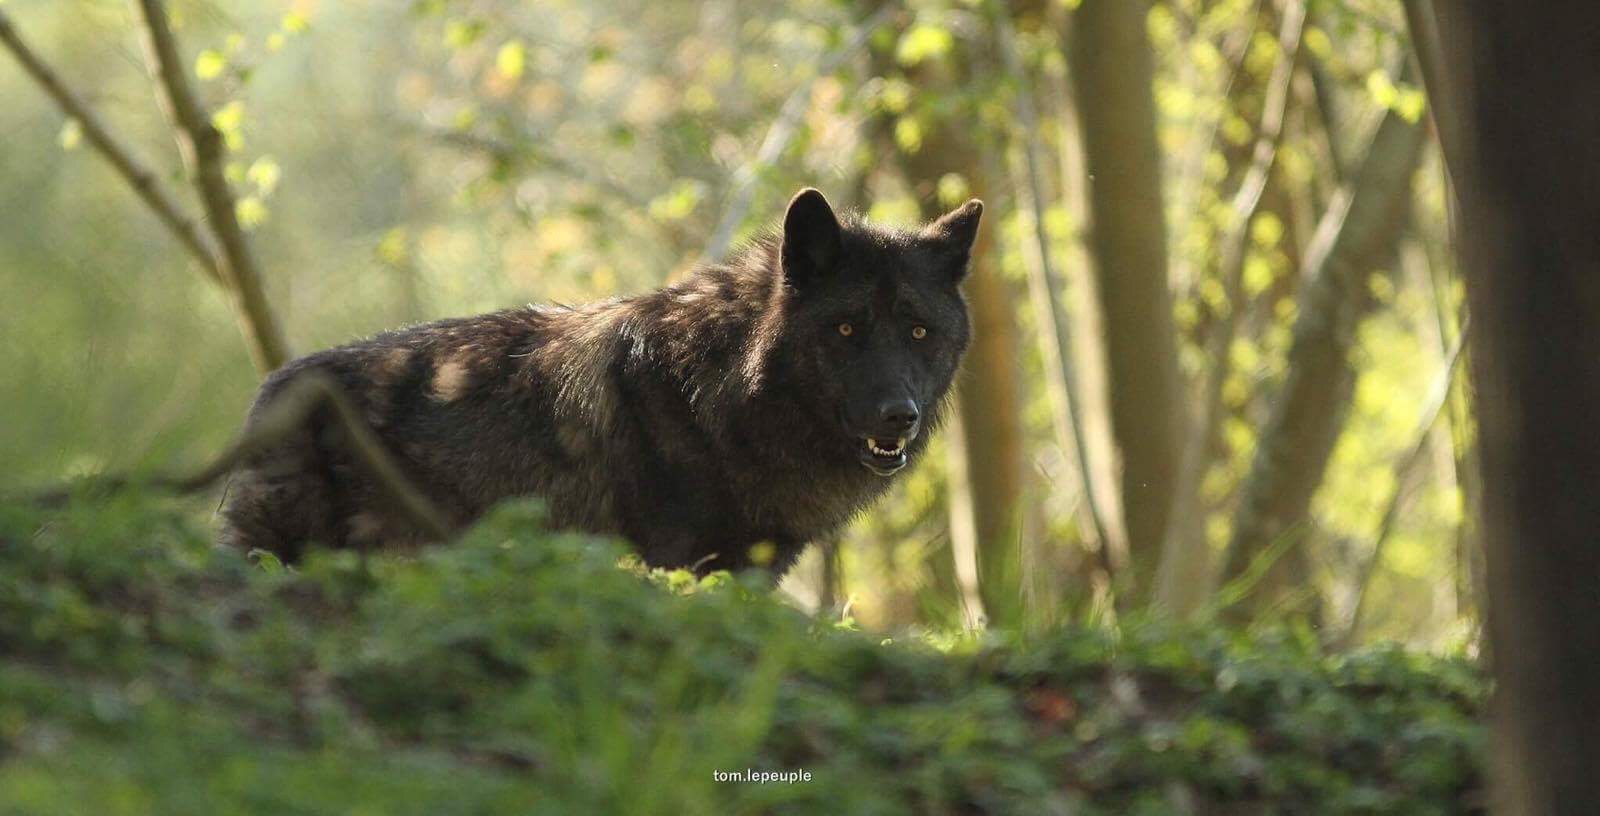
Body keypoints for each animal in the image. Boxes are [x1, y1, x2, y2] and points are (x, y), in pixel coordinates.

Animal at [220, 188, 979, 576]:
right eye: (846, 330)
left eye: (919, 333)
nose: (898, 415)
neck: (719, 390)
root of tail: (272, 390)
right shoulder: (676, 562)